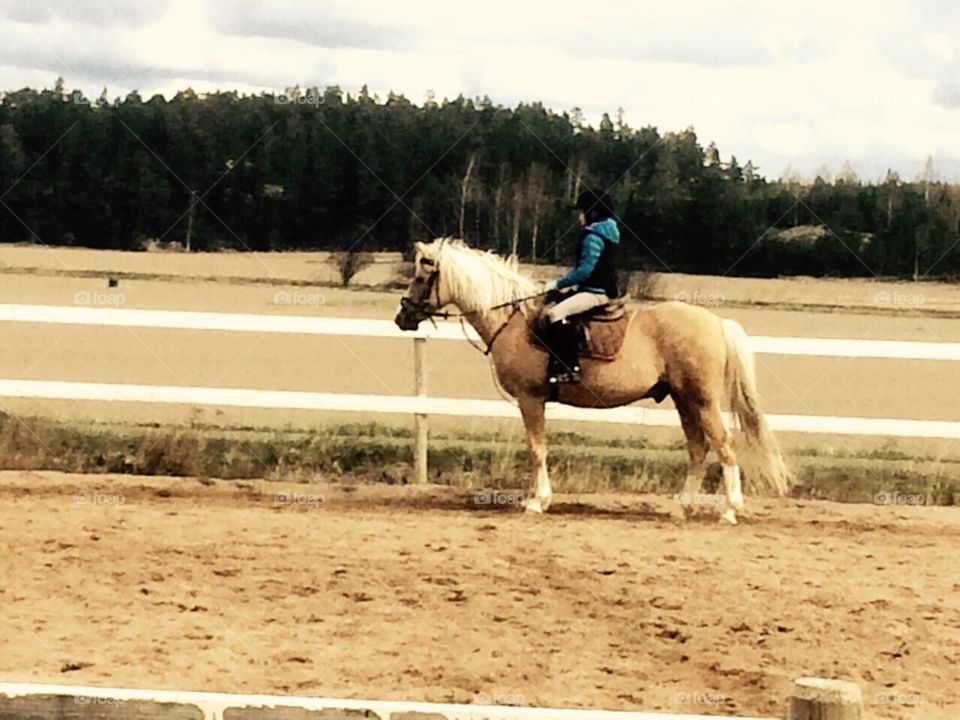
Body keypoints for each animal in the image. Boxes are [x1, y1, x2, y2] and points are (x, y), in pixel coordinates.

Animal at [394, 238, 791, 524]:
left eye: (421, 277)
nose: (402, 317)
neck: (514, 320)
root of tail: (716, 322)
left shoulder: (530, 398)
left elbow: (537, 449)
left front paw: (537, 502)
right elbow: (537, 449)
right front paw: (536, 498)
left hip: (702, 400)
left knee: (724, 446)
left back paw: (729, 510)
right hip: (684, 400)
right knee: (698, 449)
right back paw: (680, 508)